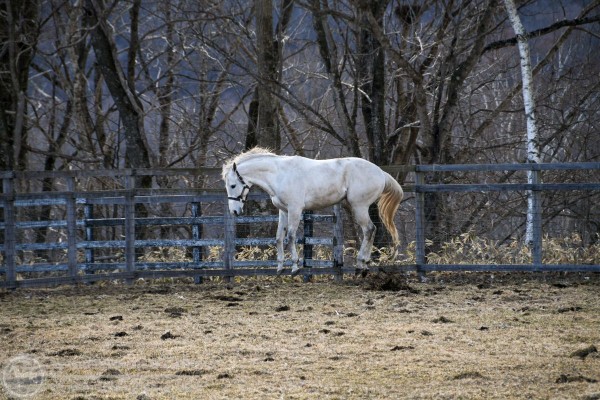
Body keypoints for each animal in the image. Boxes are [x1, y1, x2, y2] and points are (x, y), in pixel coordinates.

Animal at [221, 148, 404, 276]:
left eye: (233, 185)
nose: (235, 211)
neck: (280, 174)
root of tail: (381, 173)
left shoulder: (295, 209)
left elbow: (291, 237)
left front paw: (295, 268)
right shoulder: (283, 211)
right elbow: (279, 238)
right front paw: (279, 268)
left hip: (359, 207)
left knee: (369, 230)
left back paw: (361, 265)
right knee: (371, 230)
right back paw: (363, 266)